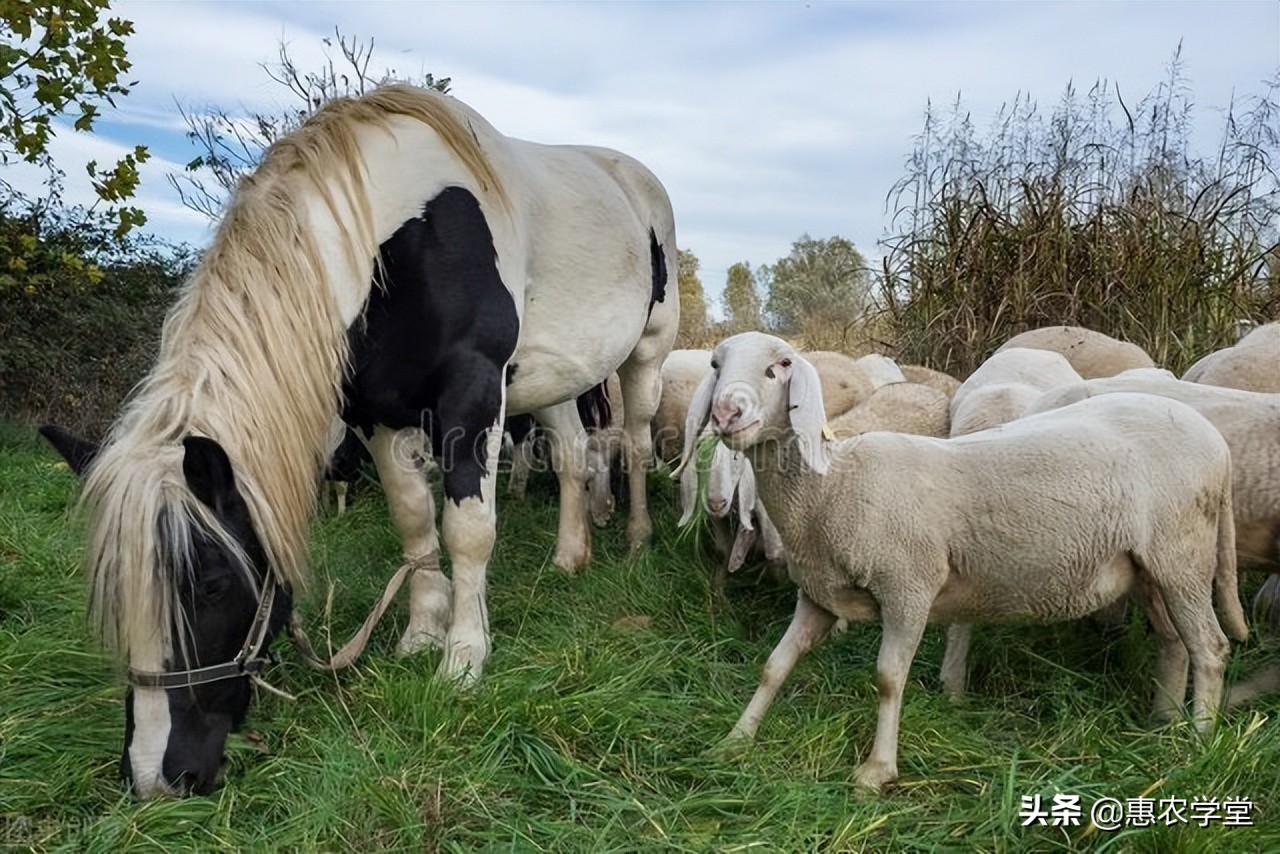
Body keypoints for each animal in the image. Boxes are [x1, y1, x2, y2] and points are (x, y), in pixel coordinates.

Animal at [42, 83, 680, 798]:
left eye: (210, 585)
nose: (157, 775)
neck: (398, 234)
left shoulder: (472, 393)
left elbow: (468, 531)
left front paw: (463, 661)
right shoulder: (377, 415)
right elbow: (414, 521)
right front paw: (422, 634)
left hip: (645, 356)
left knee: (633, 443)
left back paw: (635, 538)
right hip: (552, 380)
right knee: (571, 456)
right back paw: (571, 556)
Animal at [680, 330, 1239, 793]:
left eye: (780, 365)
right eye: (715, 364)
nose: (726, 414)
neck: (832, 487)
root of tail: (1217, 444)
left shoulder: (909, 587)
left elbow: (888, 678)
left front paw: (876, 772)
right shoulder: (818, 594)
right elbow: (774, 666)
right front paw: (735, 739)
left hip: (1182, 553)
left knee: (1210, 647)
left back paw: (1196, 744)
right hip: (1146, 567)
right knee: (1175, 642)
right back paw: (1163, 722)